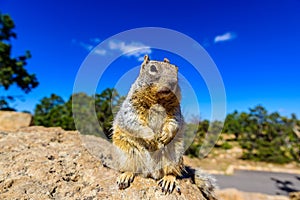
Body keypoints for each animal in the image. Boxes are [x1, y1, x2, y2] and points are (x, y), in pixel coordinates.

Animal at [99, 55, 217, 198]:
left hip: (174, 156)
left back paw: (168, 180)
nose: (172, 82)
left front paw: (166, 135)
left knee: (171, 172)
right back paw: (126, 175)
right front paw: (151, 137)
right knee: (131, 169)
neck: (158, 98)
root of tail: (150, 172)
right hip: (127, 153)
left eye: (176, 69)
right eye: (153, 68)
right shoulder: (132, 107)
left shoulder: (175, 110)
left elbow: (174, 122)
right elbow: (133, 120)